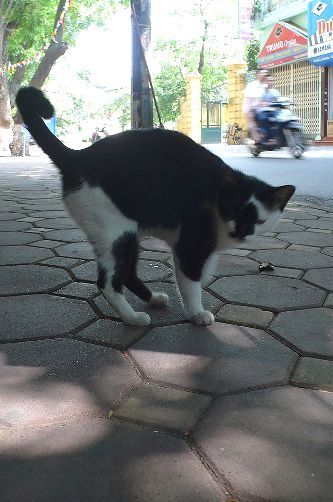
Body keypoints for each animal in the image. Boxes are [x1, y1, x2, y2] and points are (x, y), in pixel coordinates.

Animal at [16, 86, 294, 328]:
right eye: (234, 211)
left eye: (259, 220)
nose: (242, 233)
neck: (216, 196)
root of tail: (79, 156)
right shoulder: (190, 246)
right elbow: (190, 282)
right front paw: (197, 313)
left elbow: (201, 272)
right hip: (117, 235)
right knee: (107, 283)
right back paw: (132, 317)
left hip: (128, 235)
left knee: (127, 274)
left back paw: (153, 300)